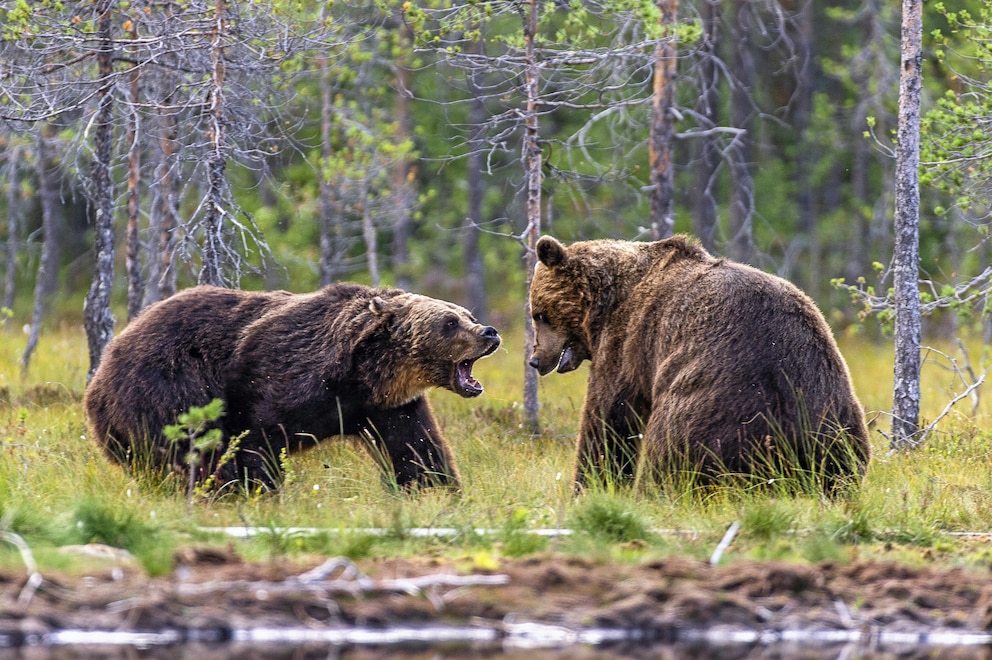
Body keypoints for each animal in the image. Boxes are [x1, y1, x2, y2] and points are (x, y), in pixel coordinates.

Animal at [84, 284, 500, 490]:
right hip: (166, 382)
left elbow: (417, 449)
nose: (489, 332)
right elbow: (257, 436)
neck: (363, 374)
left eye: (467, 314)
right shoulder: (284, 377)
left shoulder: (387, 407)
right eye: (449, 323)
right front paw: (255, 487)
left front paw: (437, 489)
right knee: (188, 442)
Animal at [528, 235, 868, 492]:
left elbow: (608, 415)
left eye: (539, 314)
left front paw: (589, 484)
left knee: (673, 448)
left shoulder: (627, 343)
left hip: (723, 401)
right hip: (832, 409)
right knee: (846, 460)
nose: (535, 360)